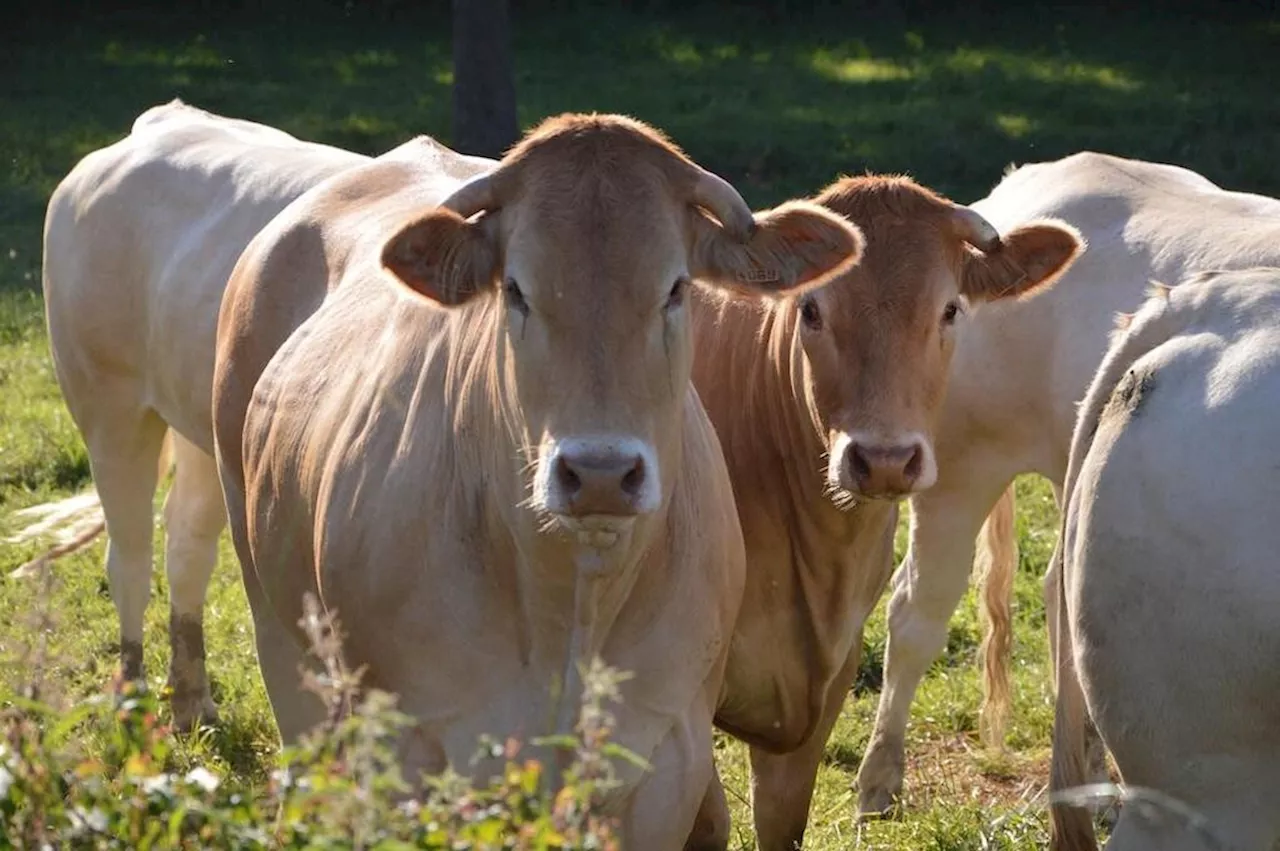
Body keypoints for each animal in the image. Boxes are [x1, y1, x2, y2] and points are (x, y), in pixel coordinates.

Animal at [37, 97, 376, 721]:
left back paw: (192, 699)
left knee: (186, 544)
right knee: (130, 556)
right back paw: (133, 695)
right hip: (110, 406)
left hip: (203, 431)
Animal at [209, 114, 865, 849]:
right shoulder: (413, 752)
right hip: (278, 629)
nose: (601, 472)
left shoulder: (668, 759)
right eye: (516, 290)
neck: (571, 607)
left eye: (676, 288)